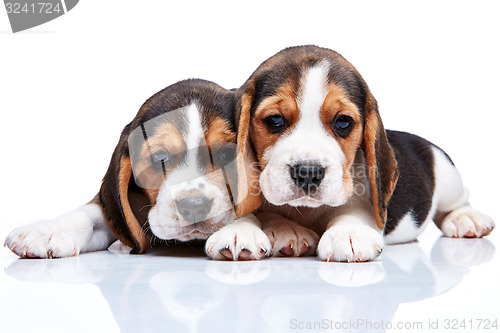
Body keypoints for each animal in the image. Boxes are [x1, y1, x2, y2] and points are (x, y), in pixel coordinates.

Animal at [3, 78, 270, 260]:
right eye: (160, 157)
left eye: (226, 154)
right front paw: (47, 230)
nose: (194, 207)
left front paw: (239, 230)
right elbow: (91, 214)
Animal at [231, 44, 496, 262]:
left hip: (448, 175)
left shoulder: (364, 200)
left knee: (457, 202)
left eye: (343, 122)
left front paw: (347, 233)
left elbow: (354, 213)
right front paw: (284, 228)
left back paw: (466, 219)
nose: (308, 173)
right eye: (275, 120)